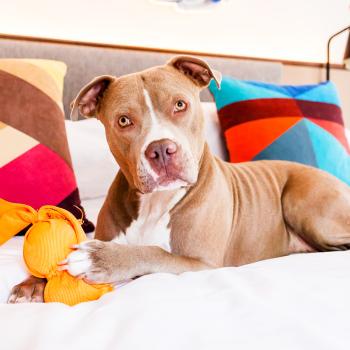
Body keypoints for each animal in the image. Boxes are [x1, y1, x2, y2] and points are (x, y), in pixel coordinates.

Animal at [8, 55, 350, 304]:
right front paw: (33, 282)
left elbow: (153, 252)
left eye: (180, 104)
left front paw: (101, 258)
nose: (161, 149)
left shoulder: (200, 264)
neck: (155, 202)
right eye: (123, 120)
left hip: (303, 202)